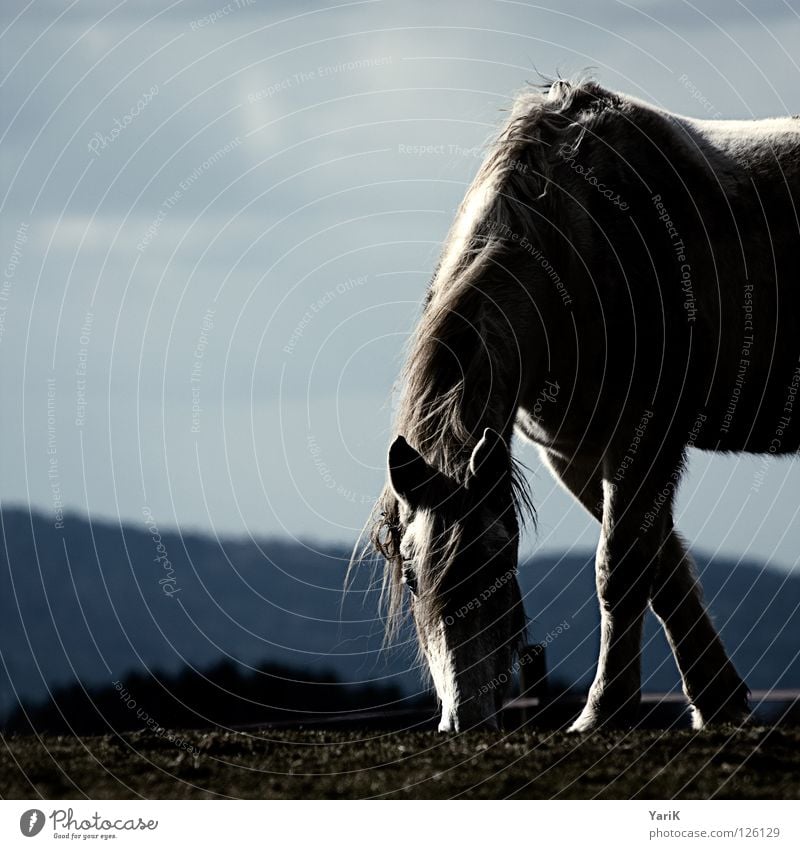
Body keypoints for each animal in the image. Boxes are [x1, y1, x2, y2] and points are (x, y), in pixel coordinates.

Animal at [368, 76, 800, 732]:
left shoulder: (642, 438)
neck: (578, 241)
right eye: (412, 578)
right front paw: (718, 702)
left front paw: (602, 712)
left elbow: (619, 570)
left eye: (501, 567)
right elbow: (660, 568)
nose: (468, 721)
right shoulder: (575, 453)